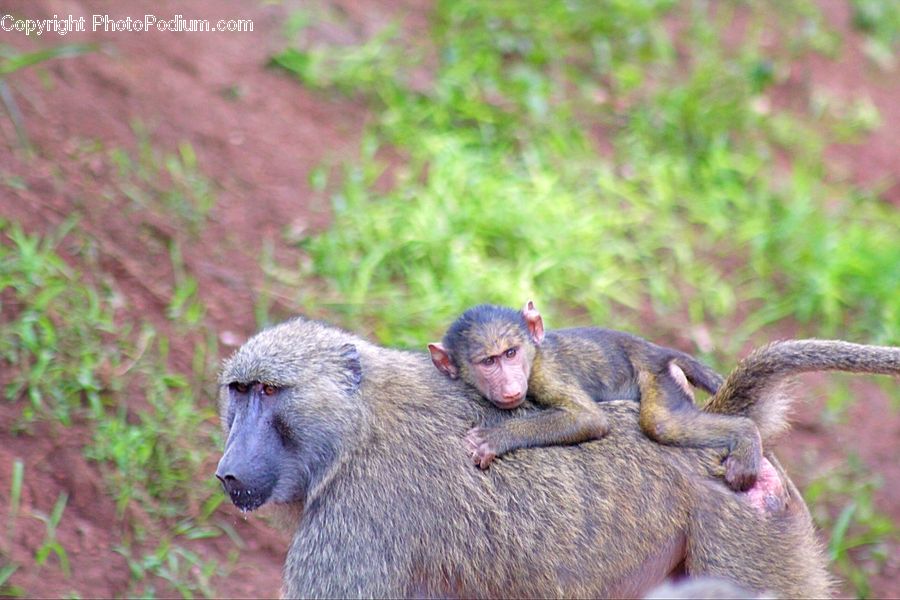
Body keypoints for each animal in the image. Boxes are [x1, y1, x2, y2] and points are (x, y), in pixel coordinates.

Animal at [427, 301, 762, 491]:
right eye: (488, 362)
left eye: (510, 353)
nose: (510, 388)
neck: (532, 353)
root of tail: (657, 351)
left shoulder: (543, 372)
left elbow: (587, 418)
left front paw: (494, 438)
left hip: (657, 375)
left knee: (661, 423)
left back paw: (745, 435)